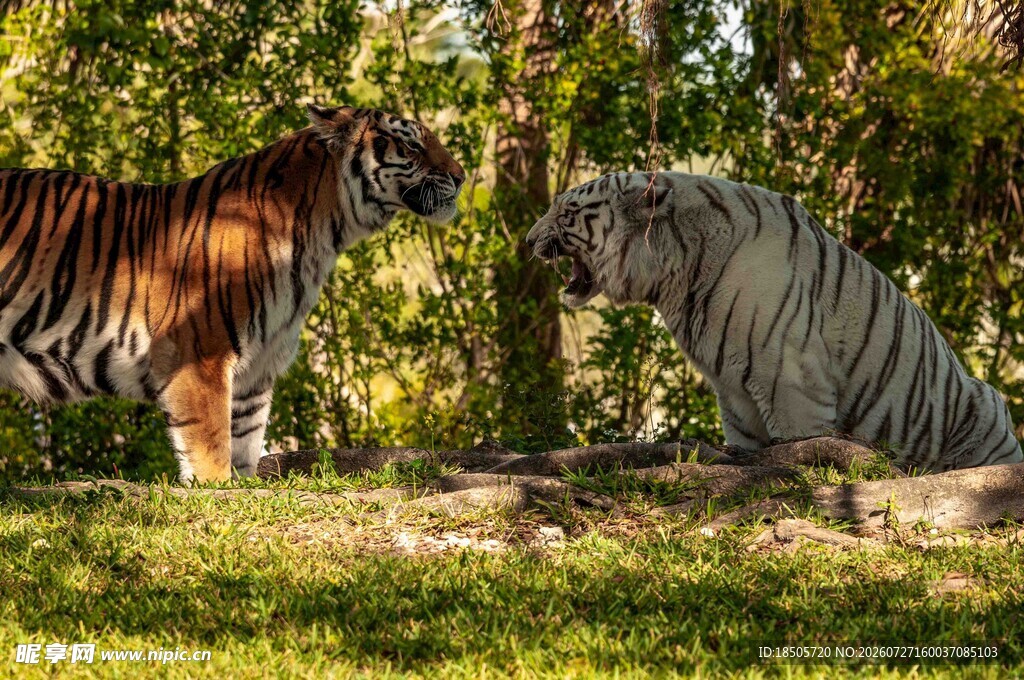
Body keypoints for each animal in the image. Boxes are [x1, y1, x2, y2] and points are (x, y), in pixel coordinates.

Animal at [0, 104, 465, 482]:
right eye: (410, 144)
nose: (461, 178)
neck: (325, 233)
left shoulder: (257, 368)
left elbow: (244, 444)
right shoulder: (197, 352)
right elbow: (211, 447)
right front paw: (213, 492)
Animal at [526, 171, 1023, 471]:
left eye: (567, 212)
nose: (528, 240)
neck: (676, 274)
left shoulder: (793, 384)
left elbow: (798, 444)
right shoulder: (734, 393)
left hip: (985, 412)